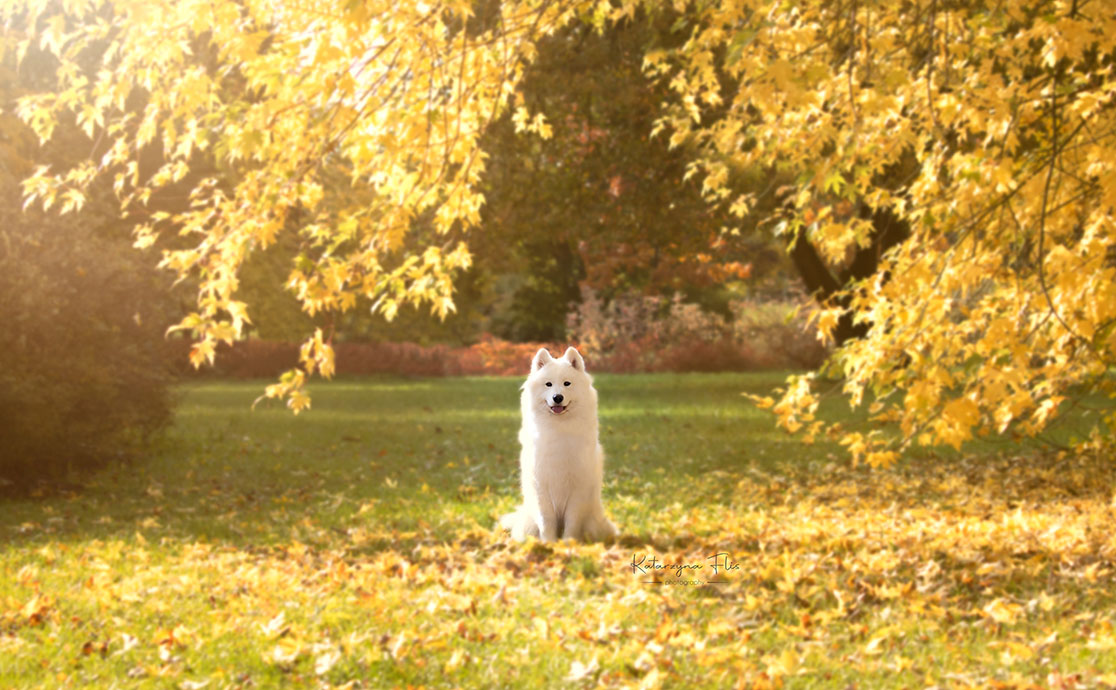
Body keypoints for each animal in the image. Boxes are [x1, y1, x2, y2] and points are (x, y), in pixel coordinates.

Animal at [499, 346, 620, 540]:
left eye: (567, 384)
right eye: (548, 384)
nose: (557, 397)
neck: (559, 430)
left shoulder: (578, 490)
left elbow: (572, 521)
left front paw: (568, 542)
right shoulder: (541, 487)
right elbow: (546, 521)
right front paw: (549, 542)